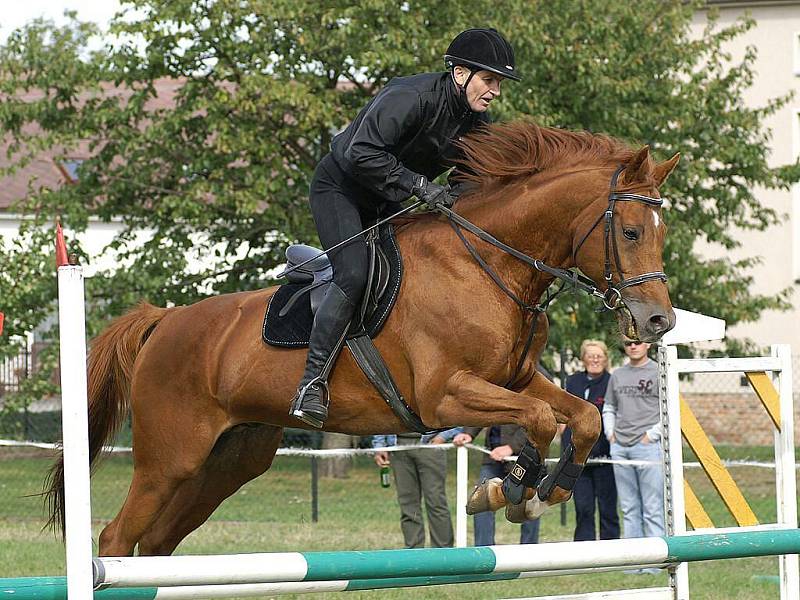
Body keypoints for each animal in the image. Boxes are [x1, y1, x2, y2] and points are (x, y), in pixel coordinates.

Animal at [45, 122, 676, 556]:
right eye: (630, 231)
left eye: (659, 231)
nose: (658, 323)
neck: (488, 263)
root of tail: (164, 321)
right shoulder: (444, 396)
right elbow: (541, 421)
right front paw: (508, 491)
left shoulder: (516, 380)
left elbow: (582, 418)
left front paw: (548, 490)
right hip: (168, 460)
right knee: (115, 539)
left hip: (226, 463)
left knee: (153, 546)